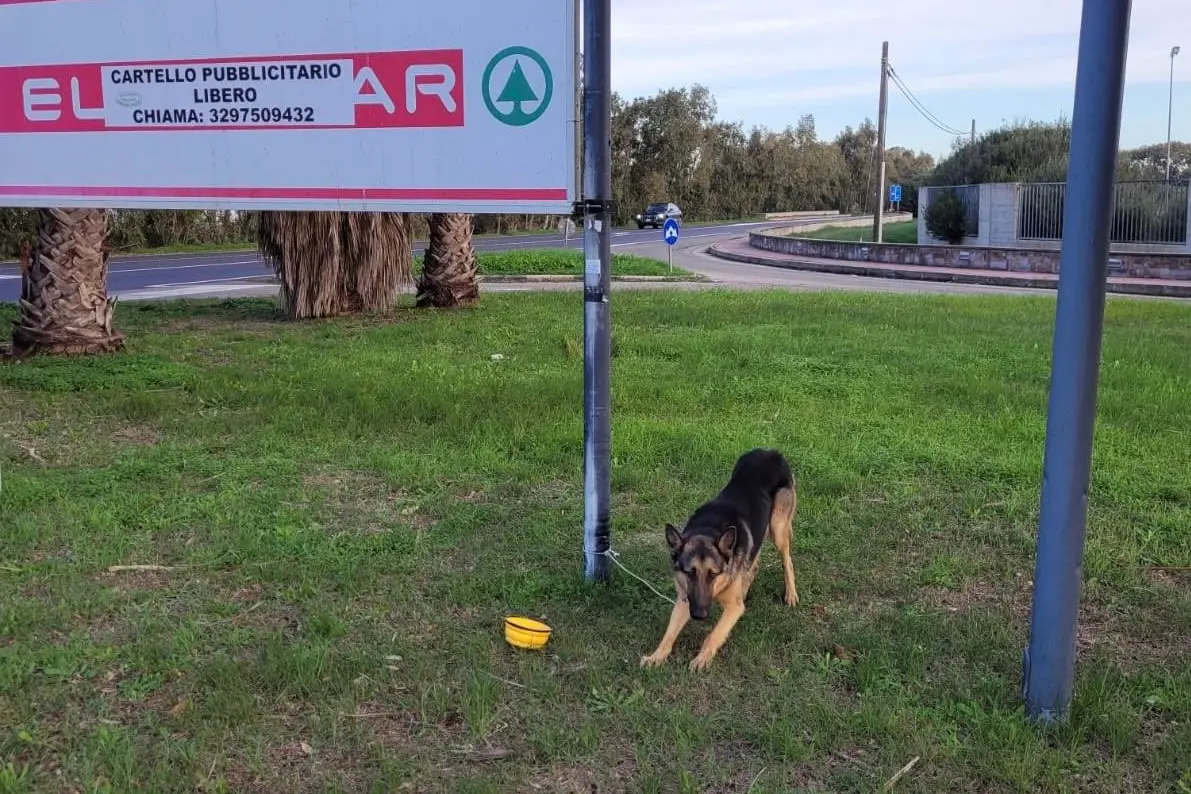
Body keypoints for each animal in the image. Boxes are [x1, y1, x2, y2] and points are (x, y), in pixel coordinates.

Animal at [638, 447, 795, 671]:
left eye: (713, 574)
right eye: (689, 573)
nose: (699, 615)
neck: (707, 530)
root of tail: (769, 451)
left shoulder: (733, 608)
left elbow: (714, 634)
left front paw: (702, 659)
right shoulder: (685, 599)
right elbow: (669, 633)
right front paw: (656, 656)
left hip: (778, 528)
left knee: (787, 560)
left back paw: (791, 594)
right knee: (753, 565)